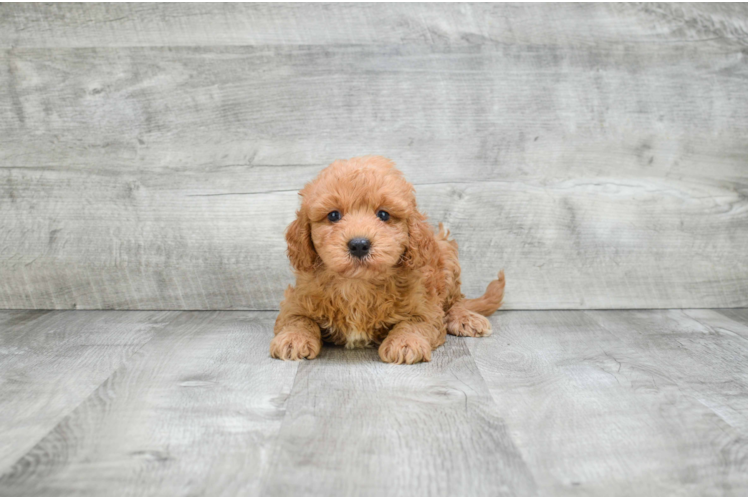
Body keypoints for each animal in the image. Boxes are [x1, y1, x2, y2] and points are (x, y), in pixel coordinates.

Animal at [268, 156, 502, 364]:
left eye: (383, 214)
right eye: (333, 215)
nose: (359, 244)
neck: (357, 285)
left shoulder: (426, 306)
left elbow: (414, 322)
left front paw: (405, 343)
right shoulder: (296, 300)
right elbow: (297, 319)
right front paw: (292, 339)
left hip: (447, 257)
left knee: (455, 301)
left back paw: (465, 318)